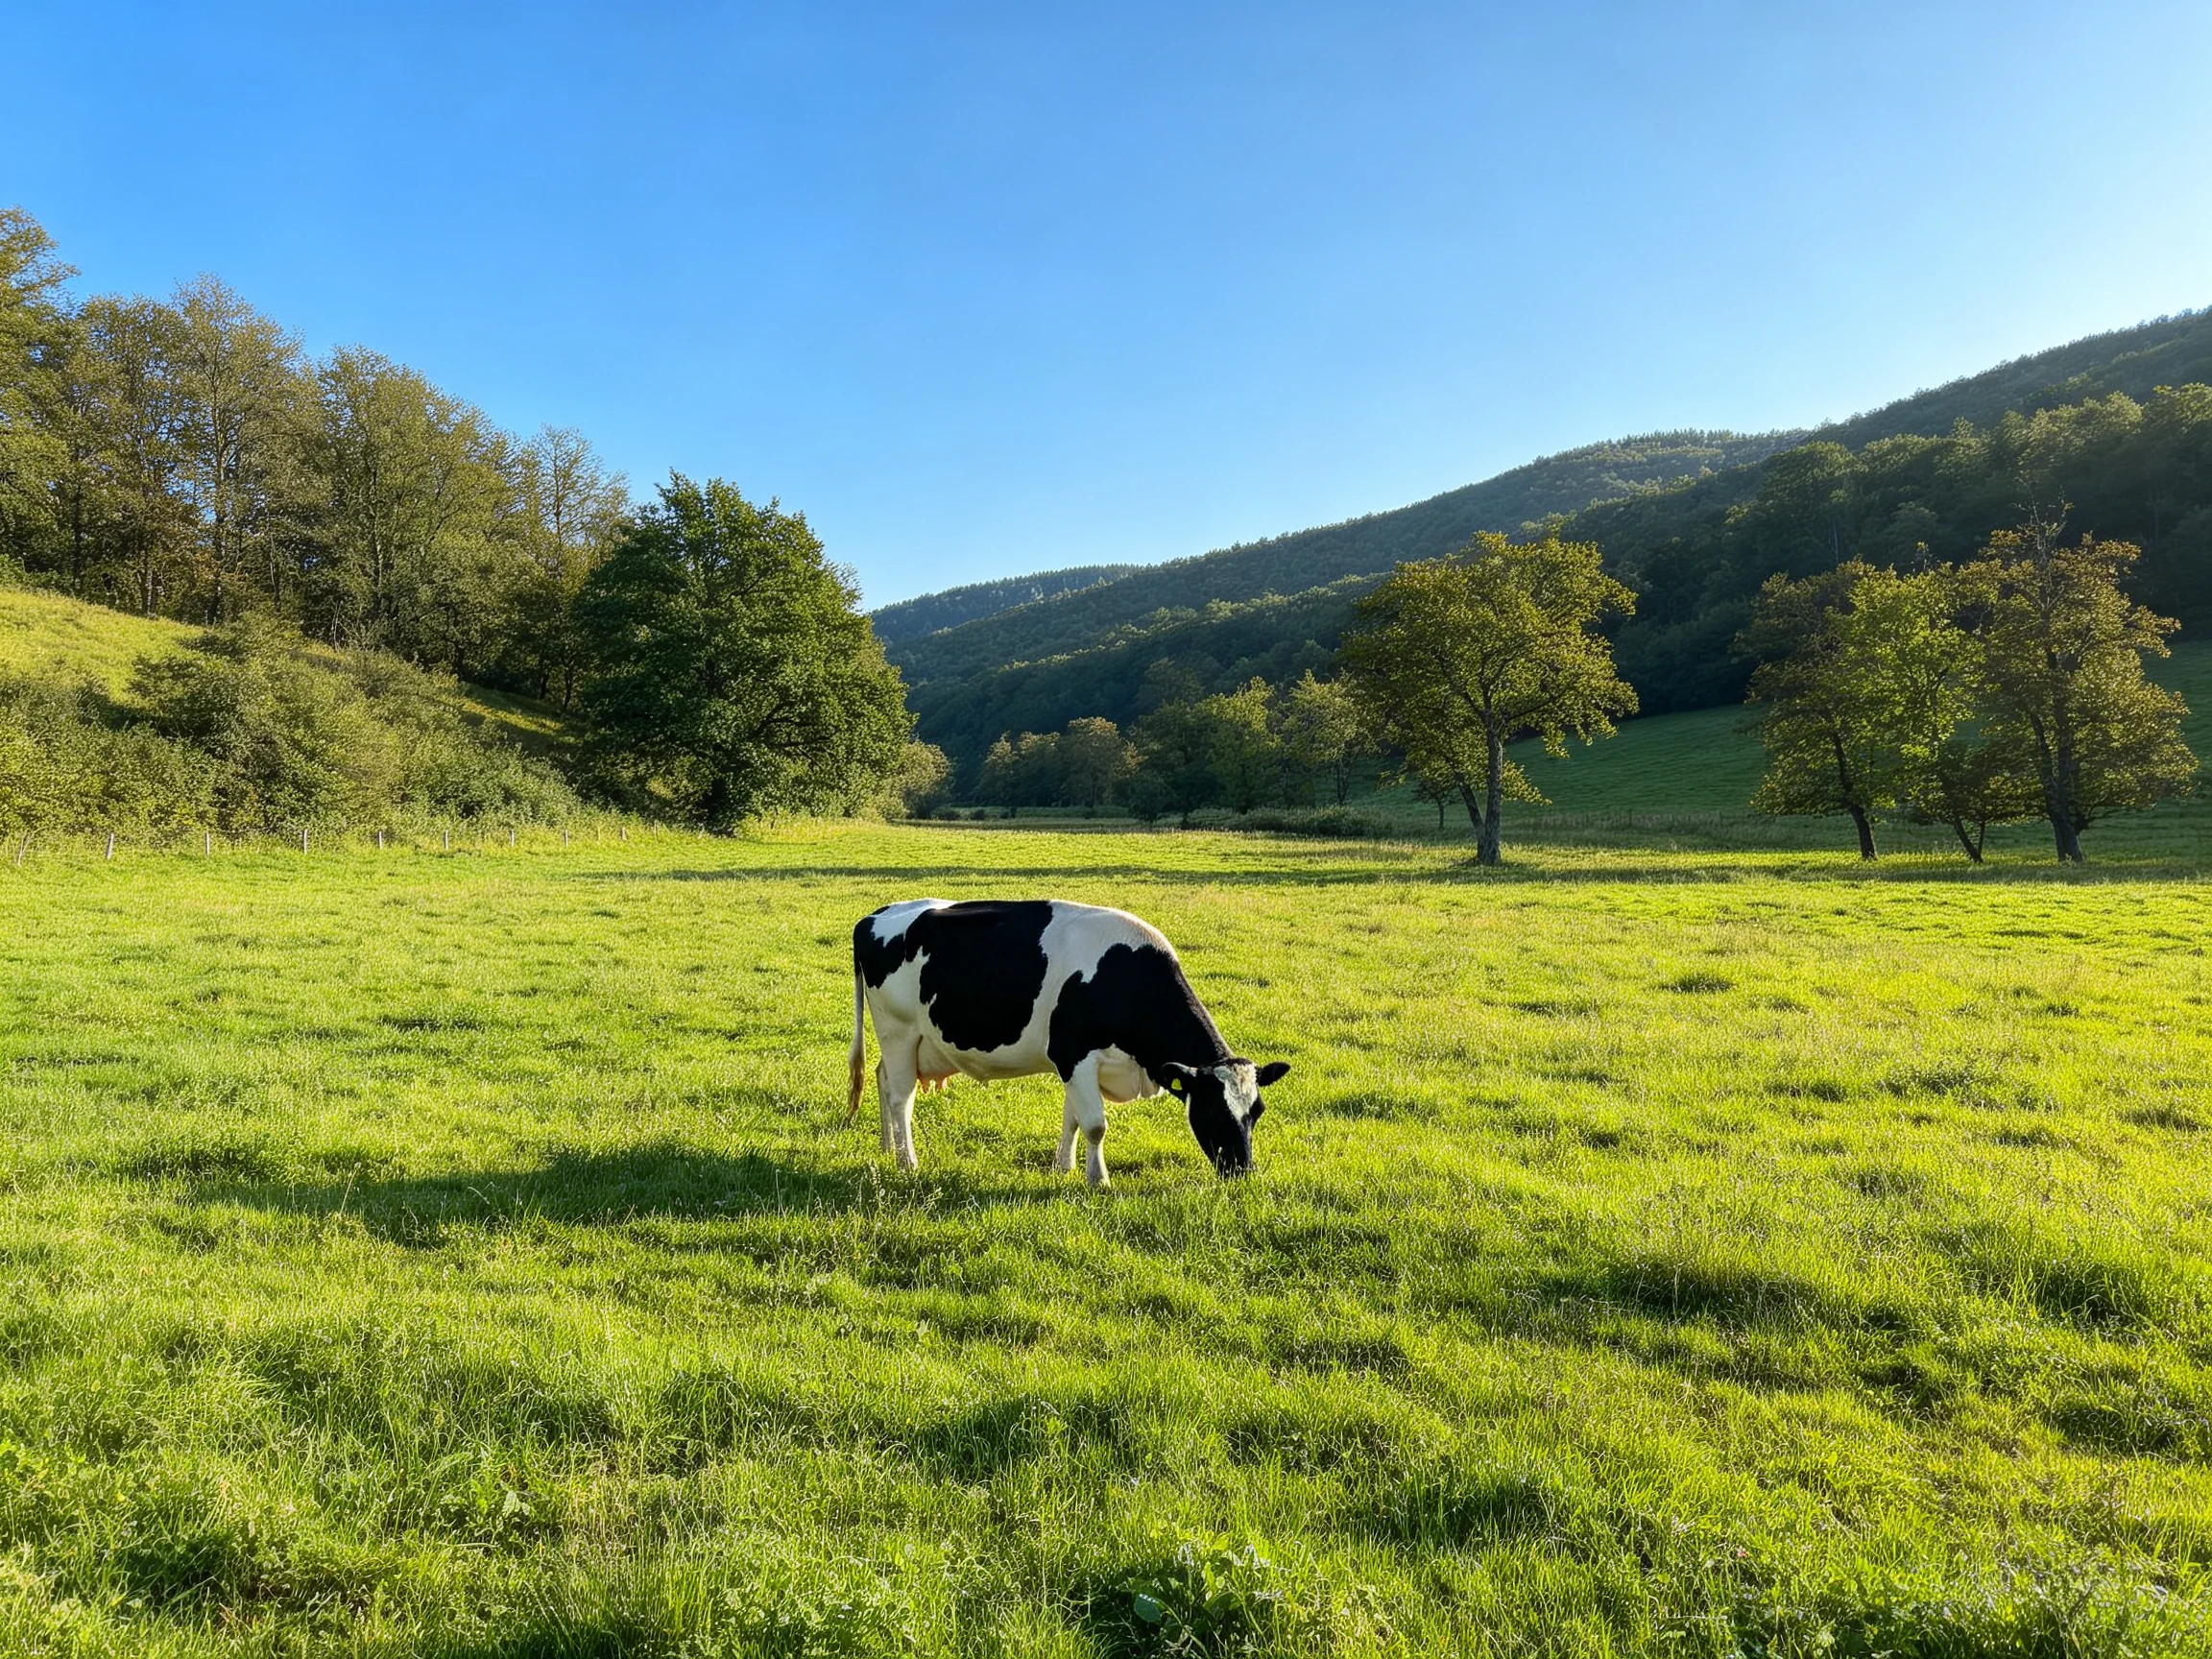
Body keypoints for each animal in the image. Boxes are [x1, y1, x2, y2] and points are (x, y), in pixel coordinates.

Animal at [848, 898, 1289, 1186]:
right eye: (1212, 1111)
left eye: (1257, 1112)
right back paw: (907, 1162)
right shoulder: (1073, 1054)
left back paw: (887, 1148)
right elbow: (1095, 1125)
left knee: (882, 1079)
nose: (1242, 1172)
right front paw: (1099, 1181)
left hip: (910, 1042)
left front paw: (1064, 1168)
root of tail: (875, 915)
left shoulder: (1076, 1064)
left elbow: (1073, 1118)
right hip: (899, 1030)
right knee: (901, 1097)